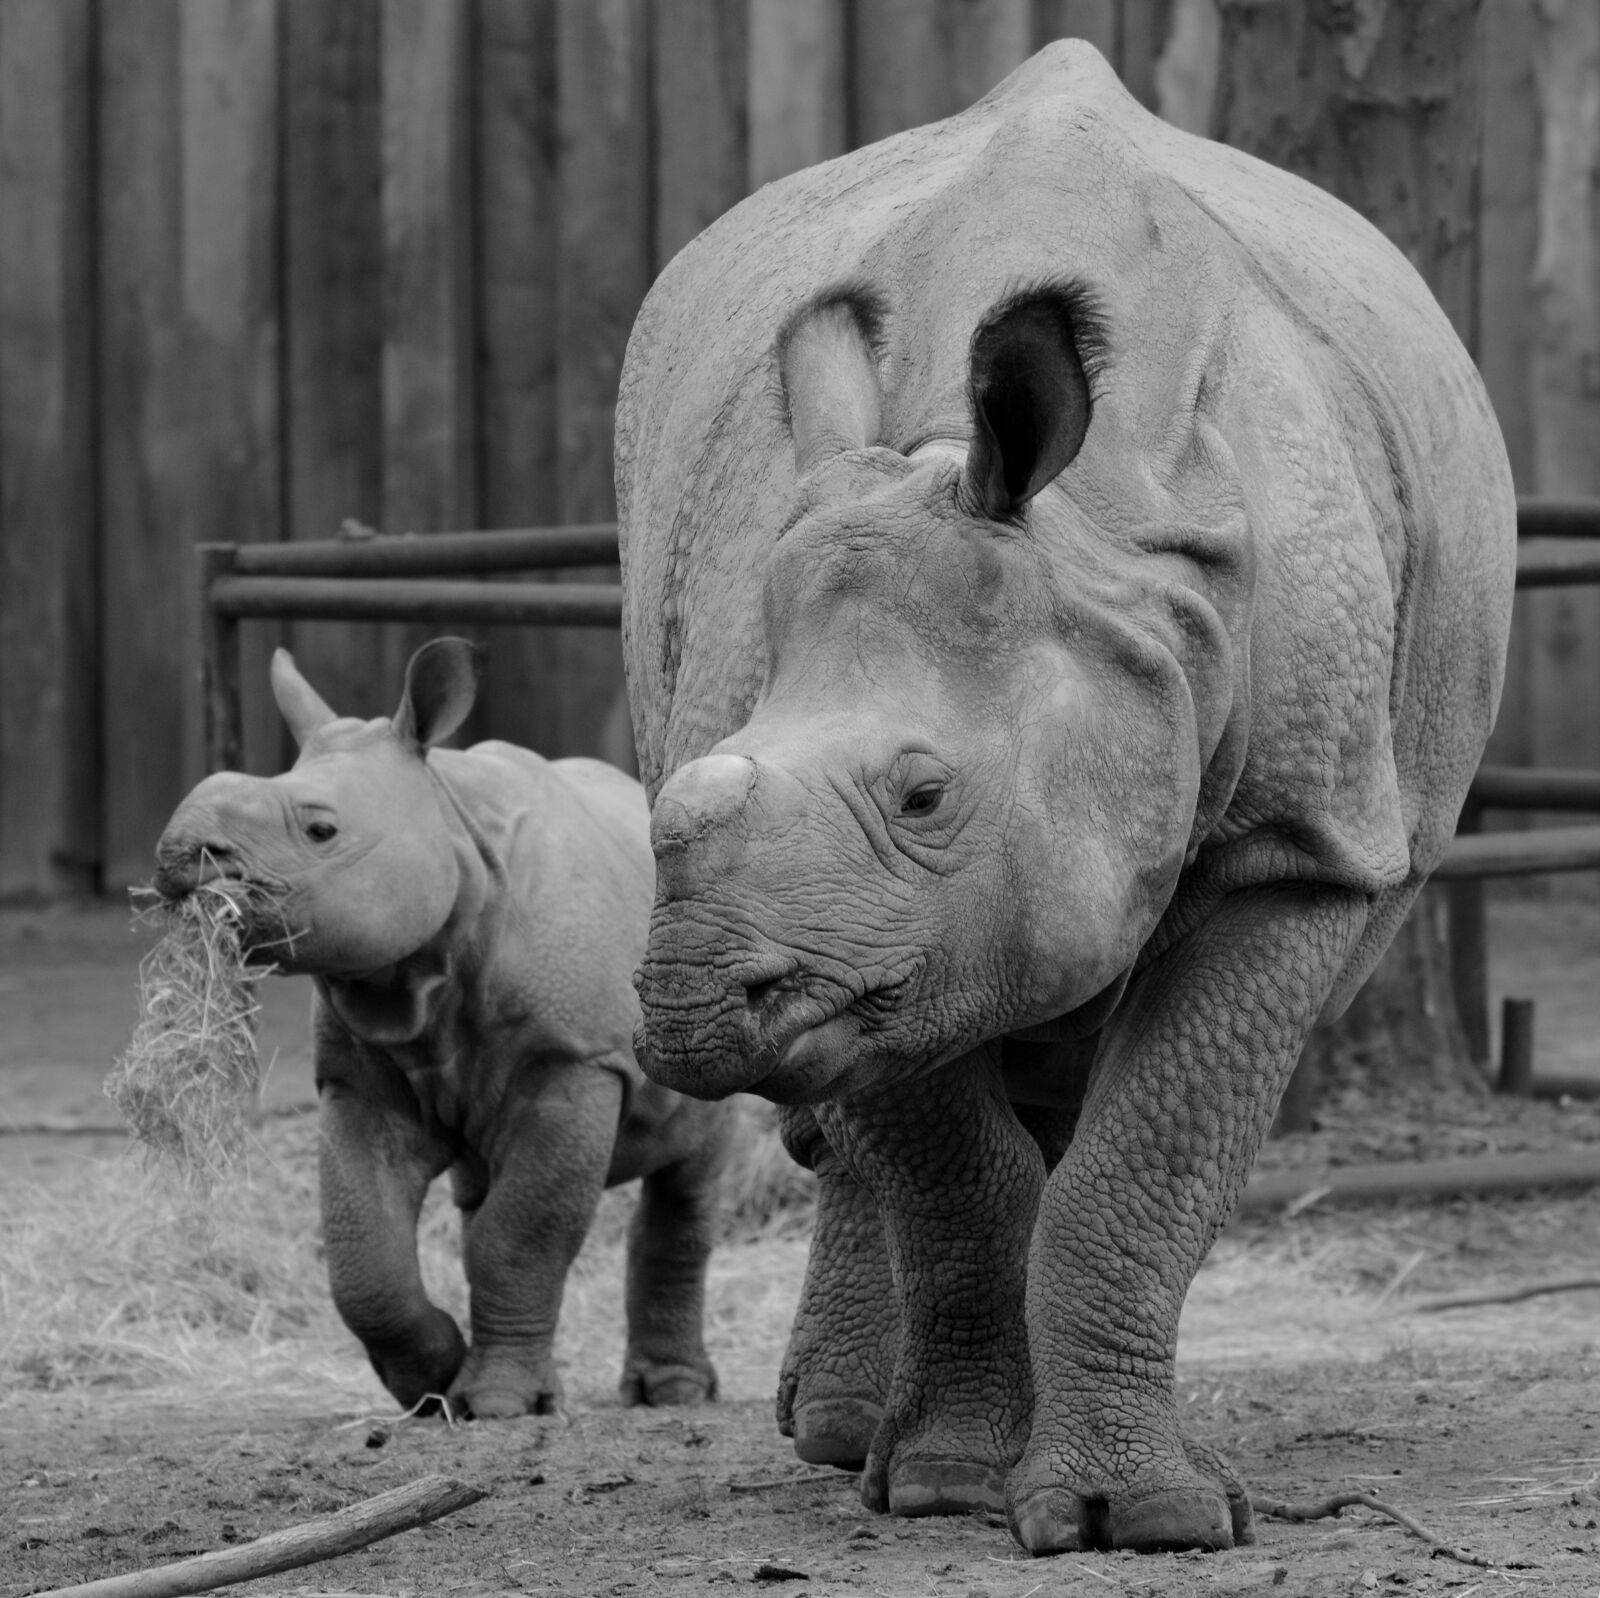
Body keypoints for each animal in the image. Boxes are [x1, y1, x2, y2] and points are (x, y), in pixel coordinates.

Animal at [154, 638, 731, 1418]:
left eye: (320, 830)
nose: (179, 857)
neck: (449, 824)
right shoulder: (359, 1075)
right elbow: (363, 1249)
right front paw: (433, 1382)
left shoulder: (574, 1058)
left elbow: (519, 1238)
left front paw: (498, 1405)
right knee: (478, 1198)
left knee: (691, 1166)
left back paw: (672, 1396)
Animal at [616, 42, 1515, 1555]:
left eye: (924, 794)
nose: (692, 999)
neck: (1097, 546)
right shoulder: (885, 946)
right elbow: (957, 1176)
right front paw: (951, 1485)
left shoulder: (1303, 841)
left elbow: (1145, 1155)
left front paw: (1131, 1516)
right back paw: (848, 1436)